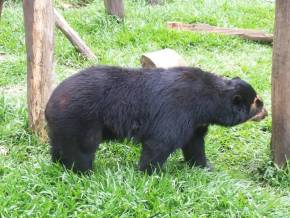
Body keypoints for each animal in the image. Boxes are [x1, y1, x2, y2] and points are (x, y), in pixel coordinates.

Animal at [45, 65, 268, 175]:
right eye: (258, 103)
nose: (266, 113)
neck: (207, 102)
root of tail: (50, 101)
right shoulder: (178, 110)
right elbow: (161, 142)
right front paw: (150, 174)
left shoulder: (196, 123)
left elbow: (194, 144)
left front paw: (204, 166)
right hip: (82, 120)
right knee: (82, 150)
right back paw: (85, 173)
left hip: (64, 125)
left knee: (60, 146)